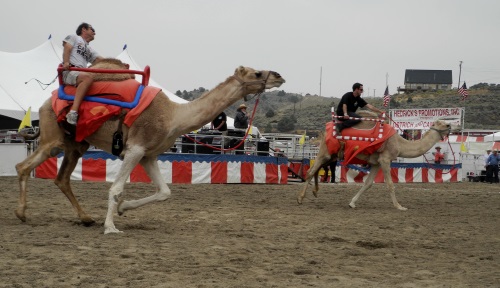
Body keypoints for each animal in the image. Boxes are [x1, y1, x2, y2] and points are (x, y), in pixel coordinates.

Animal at [15, 60, 286, 234]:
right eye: (257, 73)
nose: (279, 75)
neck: (174, 116)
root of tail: (44, 103)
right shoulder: (135, 149)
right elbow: (116, 188)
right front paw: (110, 227)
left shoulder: (149, 156)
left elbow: (164, 192)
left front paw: (123, 209)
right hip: (53, 139)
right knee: (23, 166)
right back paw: (22, 214)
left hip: (76, 144)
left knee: (60, 178)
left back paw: (85, 218)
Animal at [296, 111, 458, 210]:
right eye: (446, 124)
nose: (456, 126)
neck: (399, 143)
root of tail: (324, 131)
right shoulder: (386, 159)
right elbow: (390, 184)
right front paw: (399, 206)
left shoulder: (376, 162)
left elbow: (368, 184)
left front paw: (352, 203)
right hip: (325, 151)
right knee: (310, 171)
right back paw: (300, 198)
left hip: (333, 155)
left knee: (317, 170)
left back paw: (315, 192)